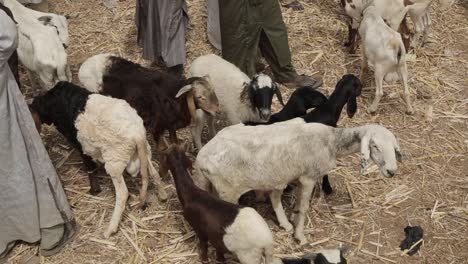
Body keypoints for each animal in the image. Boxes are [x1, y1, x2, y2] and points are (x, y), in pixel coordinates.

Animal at [196, 118, 404, 244]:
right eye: (375, 146)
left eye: (394, 147)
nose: (391, 171)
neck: (331, 142)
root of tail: (201, 157)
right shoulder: (309, 177)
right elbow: (303, 208)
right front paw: (300, 236)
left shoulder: (295, 177)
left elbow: (292, 204)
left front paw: (292, 223)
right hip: (228, 191)